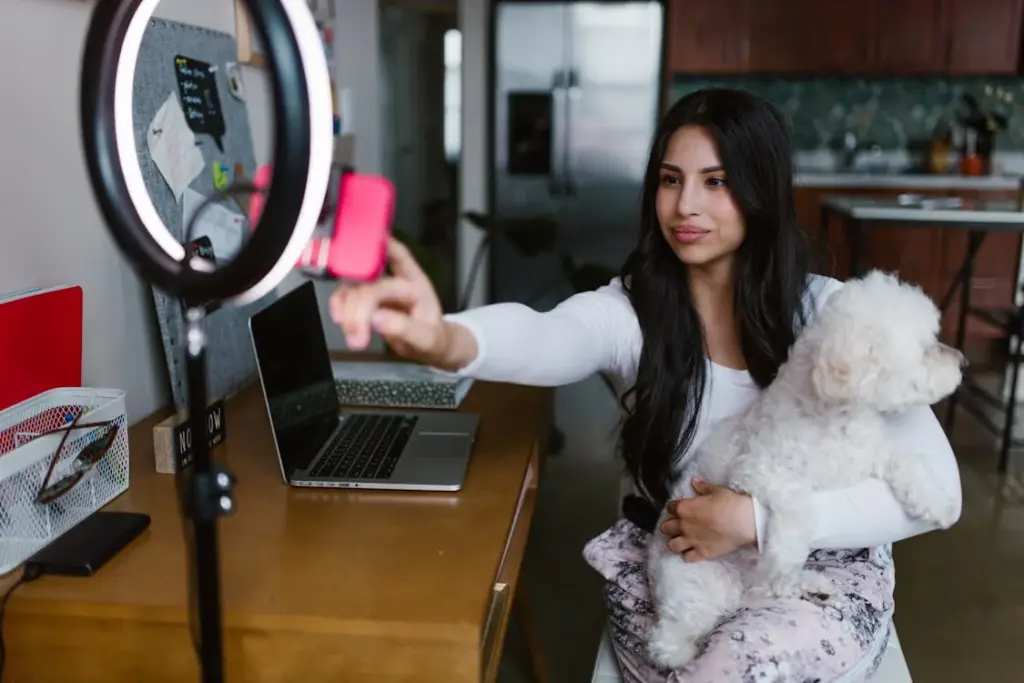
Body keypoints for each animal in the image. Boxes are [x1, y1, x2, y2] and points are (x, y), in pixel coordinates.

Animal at [643, 270, 962, 667]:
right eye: (925, 348)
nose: (962, 361)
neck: (837, 416)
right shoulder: (758, 471)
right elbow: (799, 506)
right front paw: (786, 553)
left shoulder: (874, 454)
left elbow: (911, 464)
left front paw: (939, 503)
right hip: (699, 587)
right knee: (670, 637)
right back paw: (677, 651)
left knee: (772, 587)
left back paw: (811, 587)